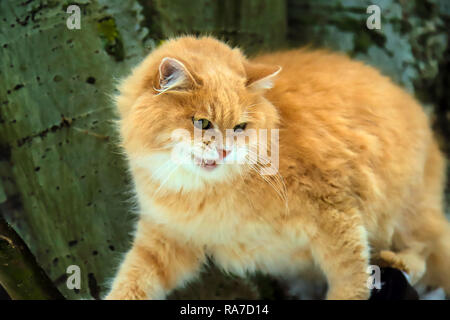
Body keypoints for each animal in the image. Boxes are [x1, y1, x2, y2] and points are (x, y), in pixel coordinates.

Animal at [106, 36, 450, 298]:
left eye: (240, 127)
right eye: (202, 123)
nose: (225, 149)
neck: (211, 191)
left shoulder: (335, 211)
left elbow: (349, 278)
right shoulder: (166, 239)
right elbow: (132, 280)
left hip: (405, 212)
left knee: (424, 252)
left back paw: (397, 260)